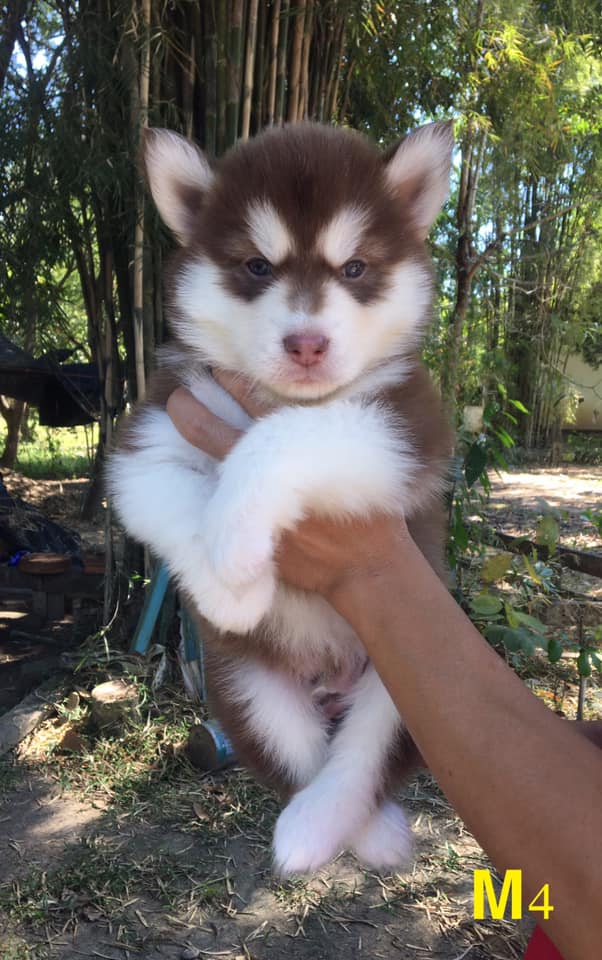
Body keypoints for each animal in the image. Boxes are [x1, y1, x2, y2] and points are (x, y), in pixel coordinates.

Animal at [108, 120, 454, 875]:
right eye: (256, 267)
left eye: (354, 269)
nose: (306, 344)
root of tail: (330, 683)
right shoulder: (149, 436)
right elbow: (173, 493)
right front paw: (232, 586)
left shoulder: (405, 428)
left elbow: (289, 433)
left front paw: (237, 535)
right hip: (246, 688)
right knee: (302, 759)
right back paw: (318, 830)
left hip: (412, 682)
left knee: (359, 763)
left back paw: (354, 831)